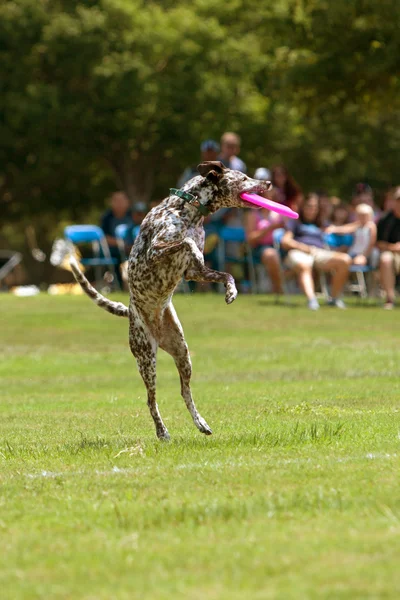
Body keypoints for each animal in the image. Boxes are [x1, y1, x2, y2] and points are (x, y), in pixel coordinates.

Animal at [70, 162, 270, 438]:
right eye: (243, 177)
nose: (269, 183)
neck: (189, 210)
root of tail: (130, 312)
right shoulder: (156, 252)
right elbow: (185, 242)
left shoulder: (195, 272)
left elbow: (225, 274)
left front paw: (231, 291)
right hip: (147, 360)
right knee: (151, 400)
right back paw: (162, 431)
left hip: (183, 354)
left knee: (185, 392)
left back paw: (201, 423)